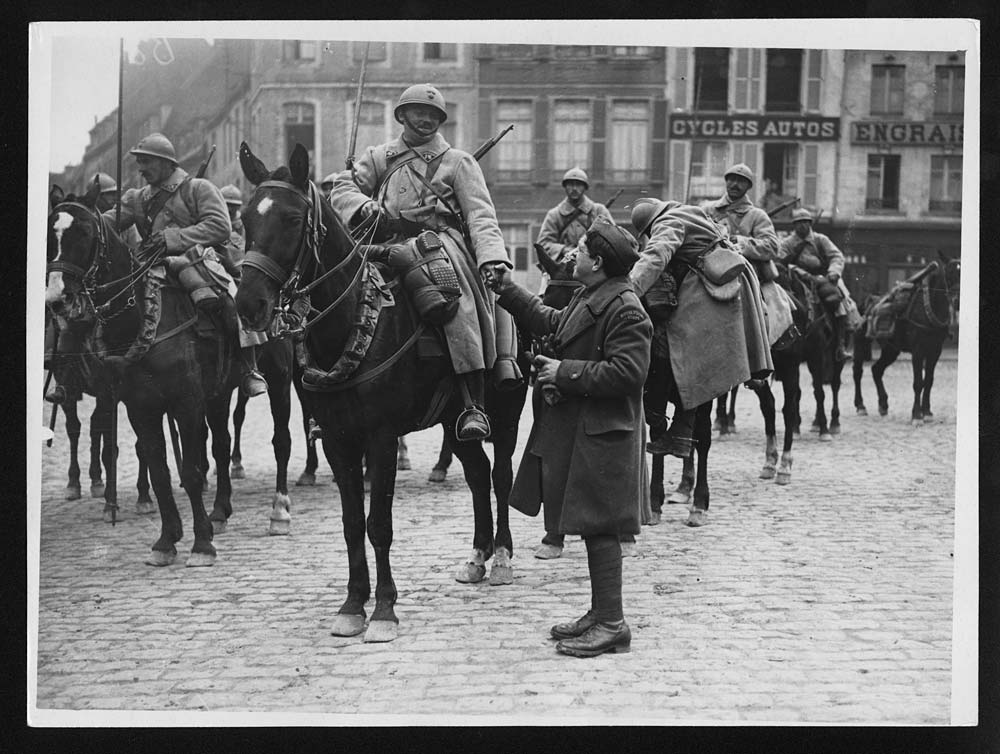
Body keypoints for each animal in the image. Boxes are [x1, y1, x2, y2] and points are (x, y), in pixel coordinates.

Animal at [45, 179, 252, 560]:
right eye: (51, 234)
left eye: (84, 232)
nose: (58, 299)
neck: (141, 318)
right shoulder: (140, 406)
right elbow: (157, 467)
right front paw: (167, 539)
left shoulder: (186, 402)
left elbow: (191, 468)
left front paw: (202, 542)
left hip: (219, 393)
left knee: (220, 444)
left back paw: (219, 511)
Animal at [234, 142, 532, 640]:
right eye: (244, 219)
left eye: (292, 219)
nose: (249, 304)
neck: (357, 321)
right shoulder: (338, 439)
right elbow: (353, 523)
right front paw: (353, 604)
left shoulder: (381, 437)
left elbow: (380, 524)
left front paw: (385, 610)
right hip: (452, 421)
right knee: (476, 474)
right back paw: (477, 557)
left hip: (505, 414)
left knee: (502, 476)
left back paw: (503, 558)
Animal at [852, 256, 960, 424]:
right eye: (949, 272)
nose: (957, 301)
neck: (928, 309)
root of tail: (866, 302)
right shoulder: (918, 351)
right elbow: (918, 383)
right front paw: (916, 415)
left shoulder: (935, 351)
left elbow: (929, 381)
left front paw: (926, 412)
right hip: (861, 343)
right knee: (858, 372)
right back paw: (860, 406)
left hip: (891, 349)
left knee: (876, 370)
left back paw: (883, 404)